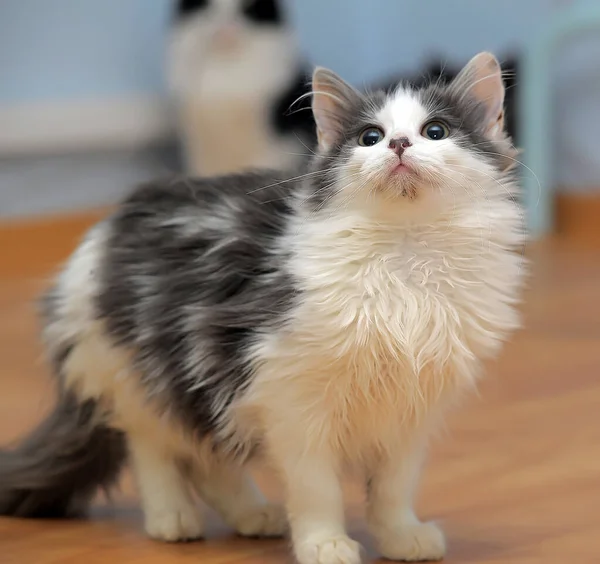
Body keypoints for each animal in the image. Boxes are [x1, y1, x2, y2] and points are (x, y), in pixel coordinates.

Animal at [0, 53, 524, 564]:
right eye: (369, 138)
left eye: (435, 131)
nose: (397, 144)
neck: (405, 256)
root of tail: (108, 226)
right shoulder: (293, 400)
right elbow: (318, 488)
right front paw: (324, 545)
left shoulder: (410, 410)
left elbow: (394, 488)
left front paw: (400, 539)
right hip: (141, 374)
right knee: (155, 449)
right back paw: (172, 519)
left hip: (203, 377)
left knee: (209, 457)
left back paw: (252, 515)